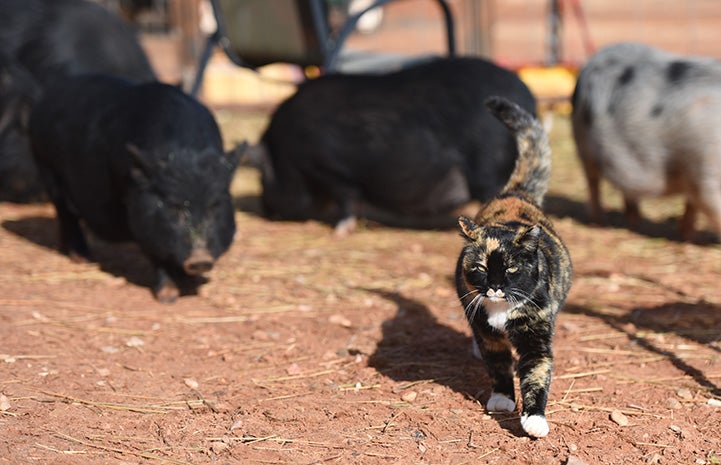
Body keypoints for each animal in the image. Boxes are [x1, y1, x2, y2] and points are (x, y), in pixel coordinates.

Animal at [28, 76, 239, 300]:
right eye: (172, 207)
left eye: (214, 207)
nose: (200, 259)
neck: (185, 154)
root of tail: (44, 100)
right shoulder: (140, 214)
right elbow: (156, 251)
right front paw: (168, 297)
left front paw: (190, 284)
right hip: (47, 167)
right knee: (66, 213)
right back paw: (82, 258)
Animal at [253, 56, 536, 234]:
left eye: (262, 179)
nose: (266, 211)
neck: (285, 153)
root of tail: (528, 98)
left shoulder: (329, 168)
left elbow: (347, 198)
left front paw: (339, 231)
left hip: (489, 165)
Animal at [458, 96, 572, 436]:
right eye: (481, 268)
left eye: (510, 269)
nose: (495, 287)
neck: (500, 310)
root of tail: (515, 192)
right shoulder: (487, 332)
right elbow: (497, 365)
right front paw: (502, 398)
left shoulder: (535, 334)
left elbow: (536, 372)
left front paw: (534, 420)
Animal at [572, 41, 721, 239]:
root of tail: (589, 64)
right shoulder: (705, 172)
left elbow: (692, 204)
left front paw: (687, 237)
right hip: (584, 147)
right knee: (593, 183)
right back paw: (600, 223)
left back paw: (636, 223)